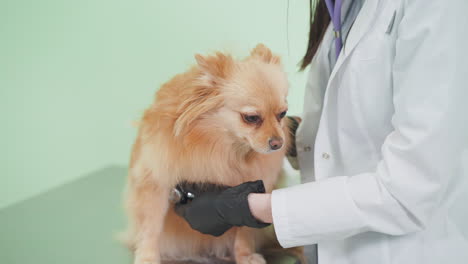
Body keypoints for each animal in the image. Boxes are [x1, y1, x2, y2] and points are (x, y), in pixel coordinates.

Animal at [123, 44, 304, 262]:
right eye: (251, 118)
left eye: (282, 114)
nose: (278, 143)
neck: (220, 145)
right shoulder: (155, 184)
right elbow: (151, 228)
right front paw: (147, 258)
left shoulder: (248, 192)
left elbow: (244, 228)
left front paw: (244, 256)